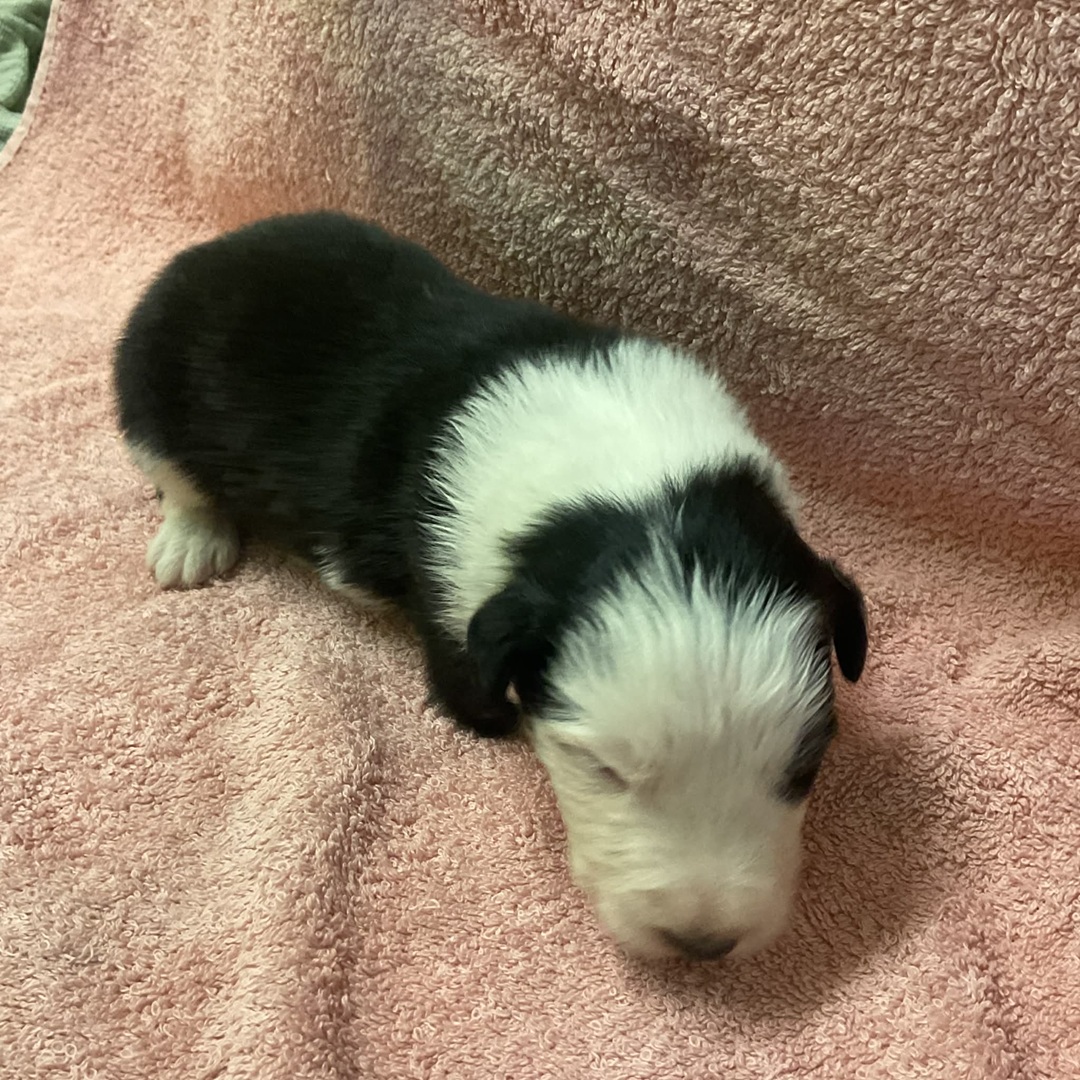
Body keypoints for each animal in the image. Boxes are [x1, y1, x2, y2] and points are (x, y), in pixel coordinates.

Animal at [113, 211, 867, 961]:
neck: (634, 479)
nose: (703, 943)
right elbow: (462, 668)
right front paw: (487, 717)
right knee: (177, 477)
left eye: (804, 767)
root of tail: (217, 246)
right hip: (147, 381)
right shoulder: (451, 591)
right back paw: (192, 543)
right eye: (601, 769)